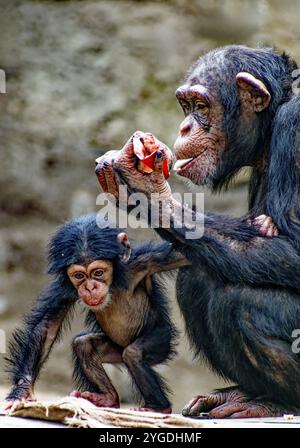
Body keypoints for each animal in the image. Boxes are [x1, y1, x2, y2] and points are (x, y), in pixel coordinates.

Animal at [5, 214, 188, 412]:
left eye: (98, 272)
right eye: (79, 276)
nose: (90, 287)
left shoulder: (145, 262)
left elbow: (181, 256)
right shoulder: (63, 287)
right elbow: (46, 327)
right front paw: (21, 391)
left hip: (162, 339)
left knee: (133, 354)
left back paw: (158, 407)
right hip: (114, 348)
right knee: (83, 345)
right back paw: (107, 397)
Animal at [95, 44, 300, 416]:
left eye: (201, 106)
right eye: (186, 105)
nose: (185, 126)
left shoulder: (295, 126)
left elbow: (293, 248)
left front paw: (148, 190)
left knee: (243, 303)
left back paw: (276, 404)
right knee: (198, 276)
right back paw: (238, 396)